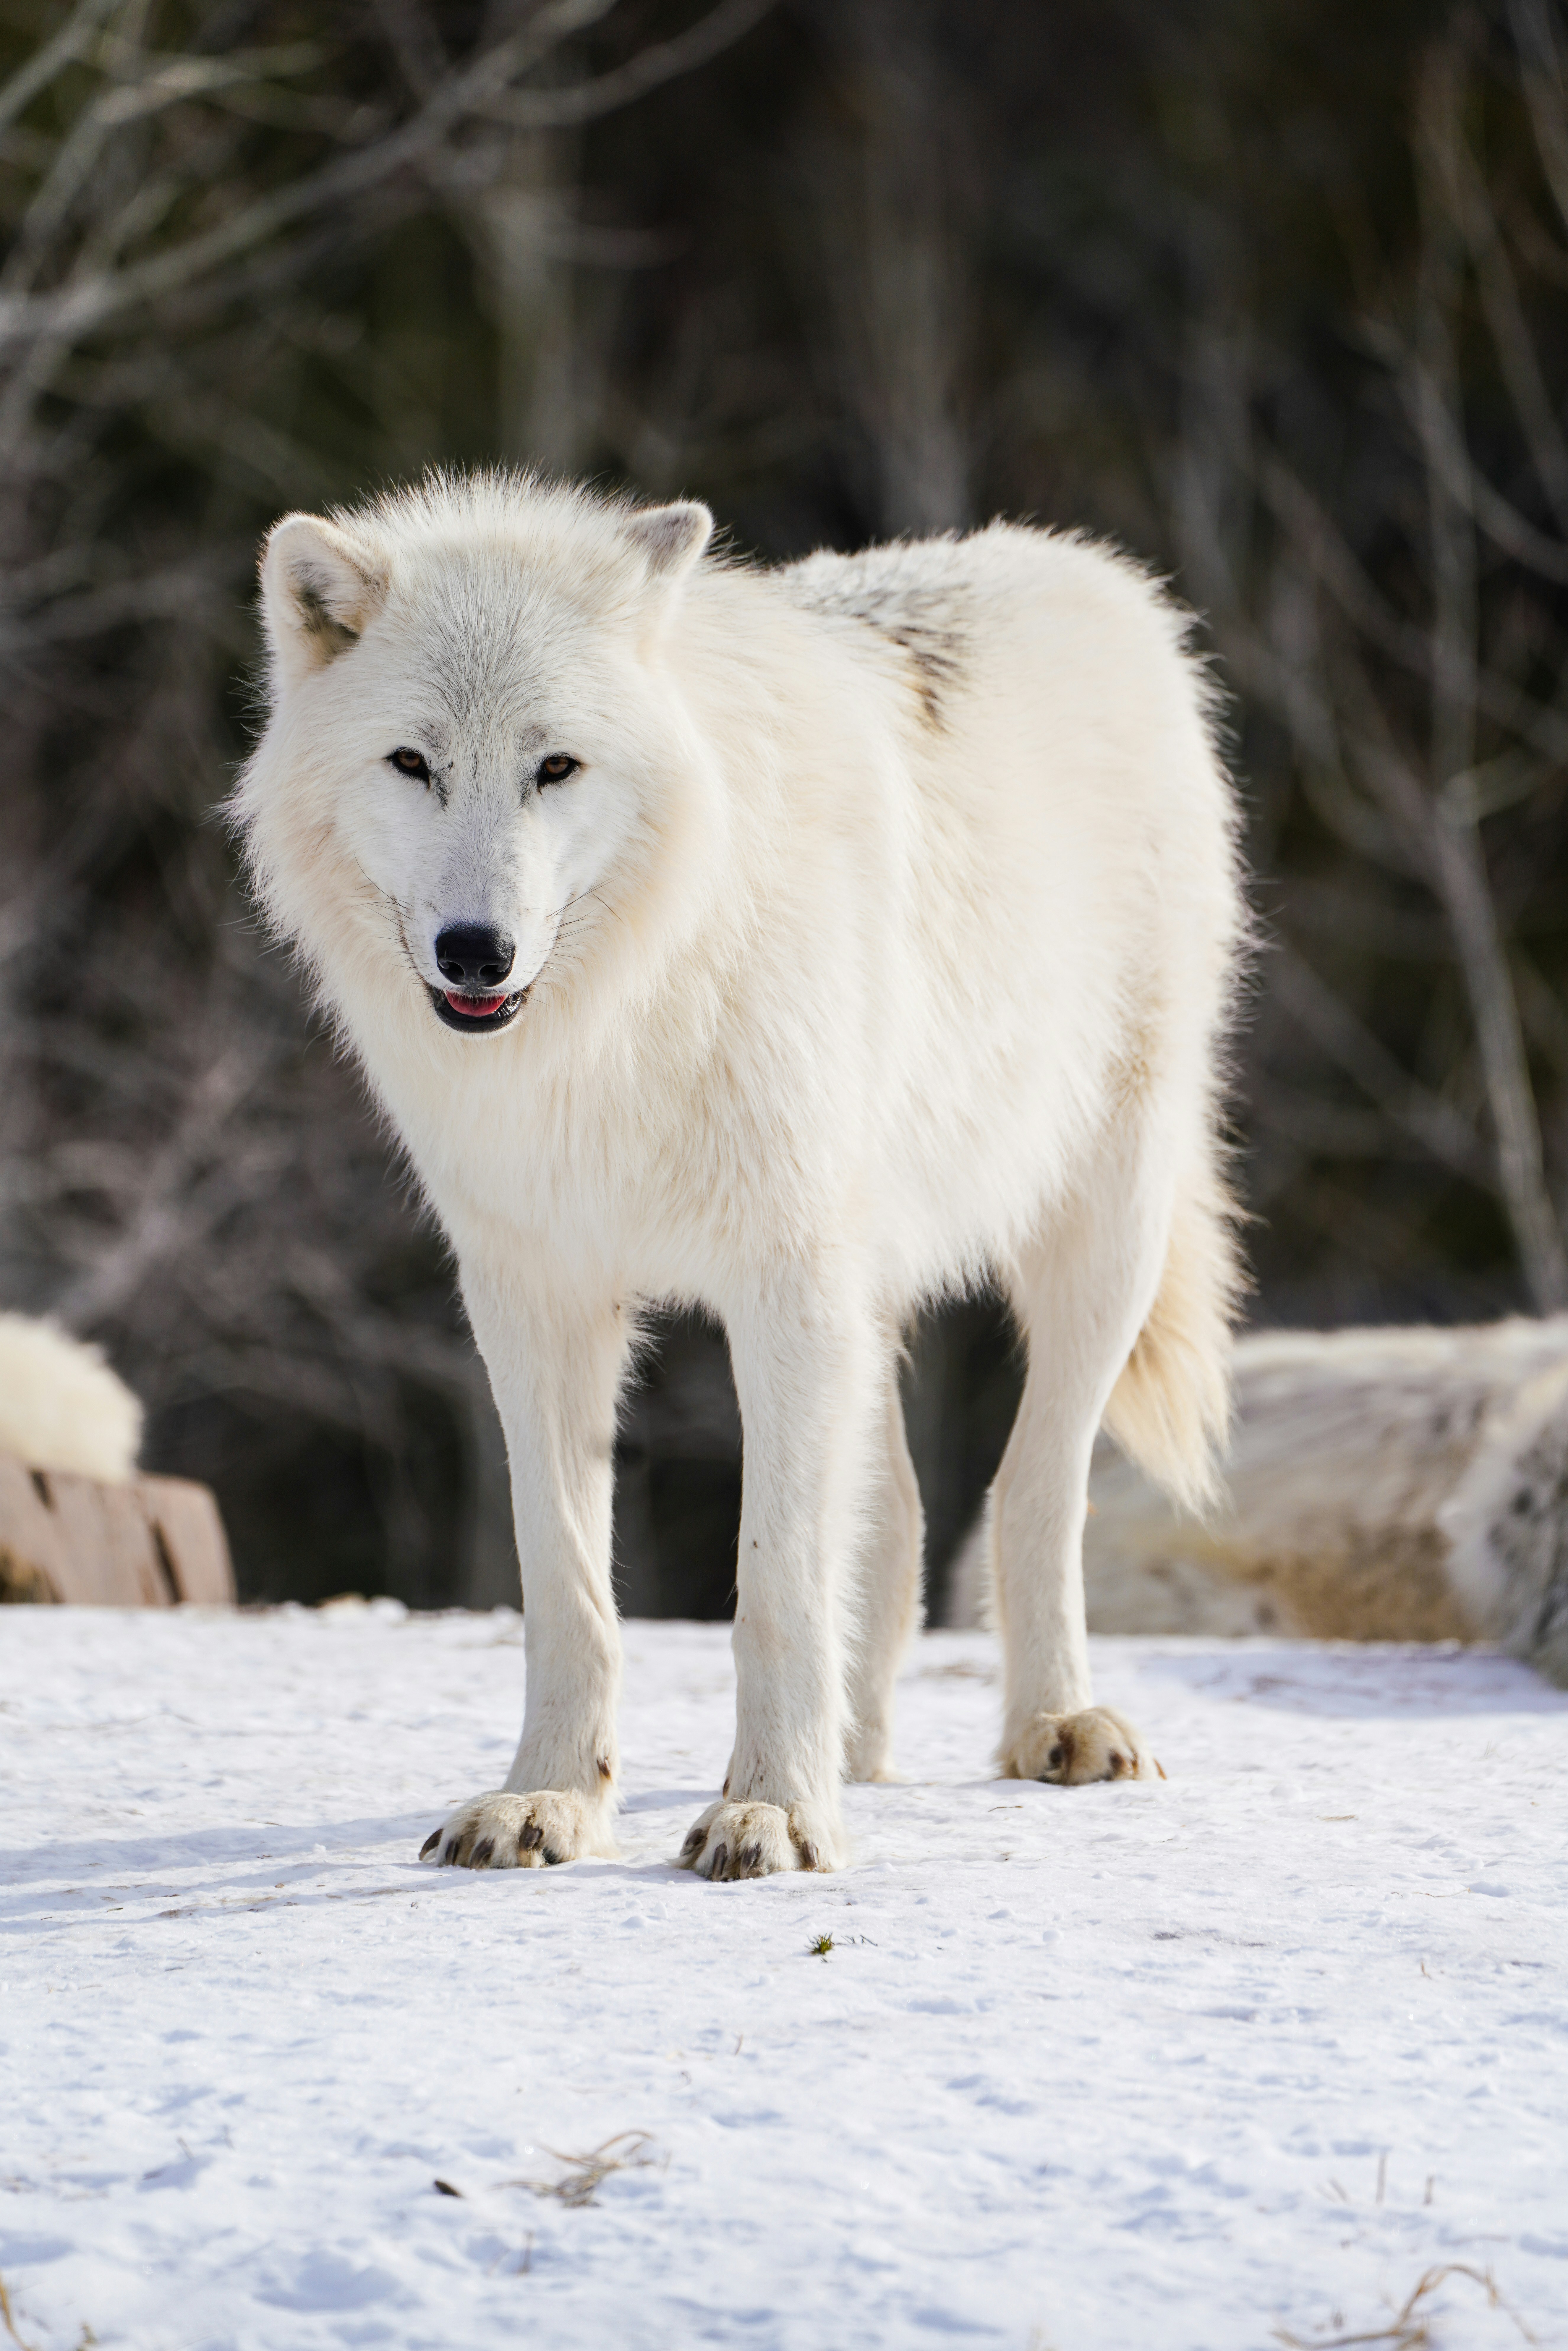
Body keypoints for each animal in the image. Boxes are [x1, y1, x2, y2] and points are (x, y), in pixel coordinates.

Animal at [236, 473, 1244, 1878]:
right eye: (413, 763)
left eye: (556, 766)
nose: (476, 951)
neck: (616, 1023)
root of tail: (1088, 570)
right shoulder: (534, 1296)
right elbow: (568, 1581)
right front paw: (550, 1797)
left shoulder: (785, 1282)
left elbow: (771, 1581)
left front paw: (773, 1809)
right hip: (875, 1290)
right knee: (901, 1515)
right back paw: (861, 1752)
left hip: (1100, 1236)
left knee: (1033, 1487)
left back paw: (1053, 1725)